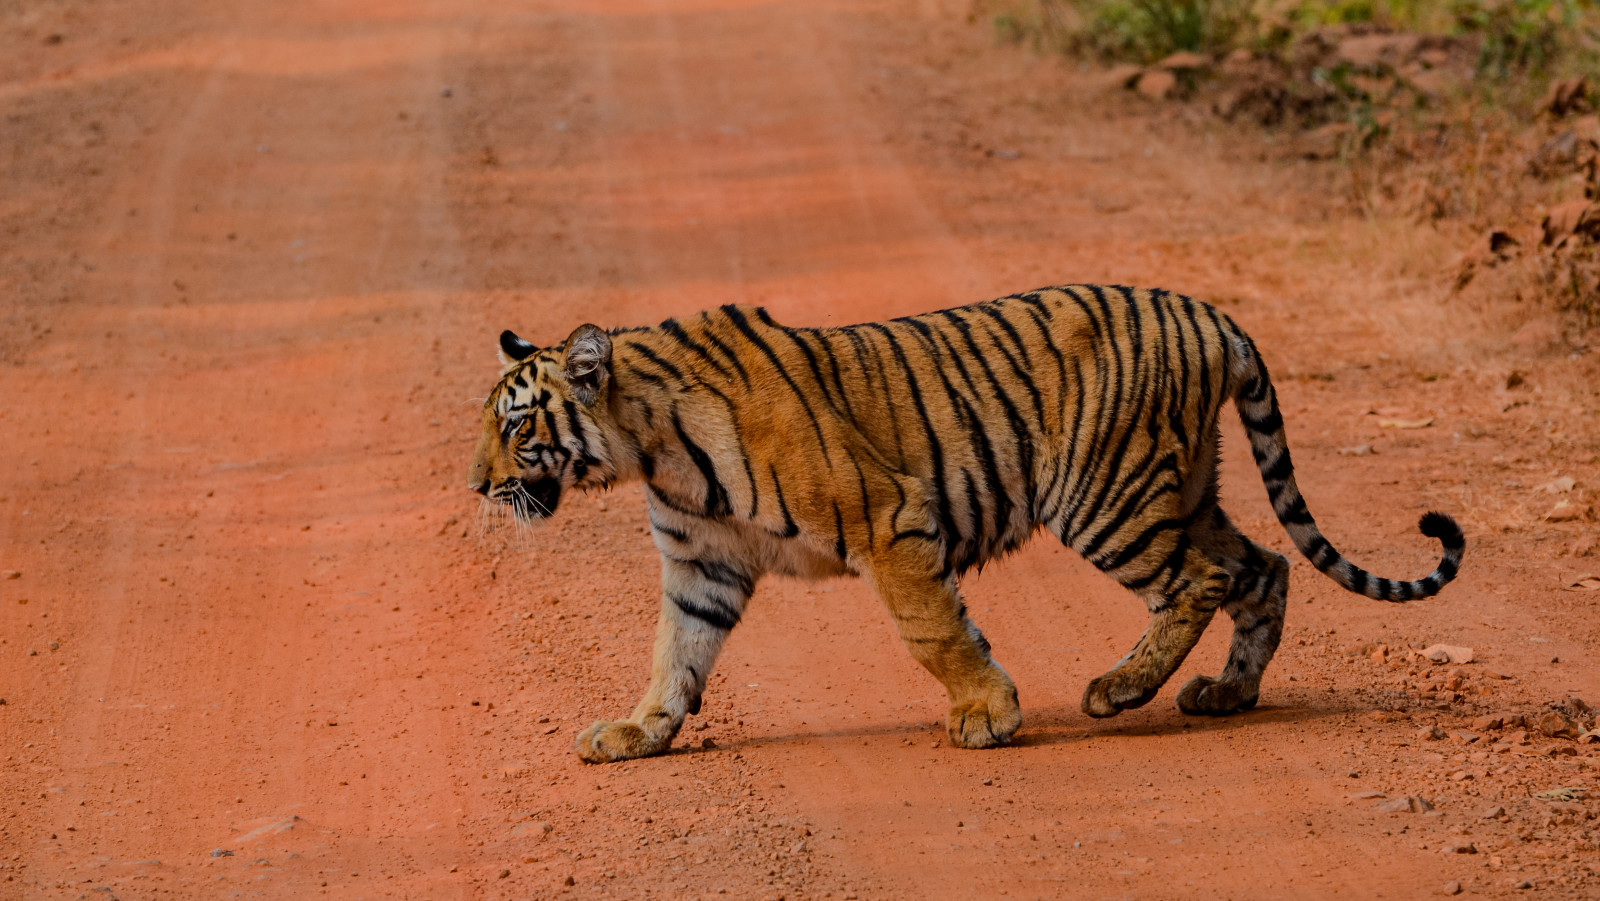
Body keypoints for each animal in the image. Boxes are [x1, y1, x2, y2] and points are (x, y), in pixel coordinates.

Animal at [464, 283, 1465, 761]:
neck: (646, 447)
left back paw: (1118, 689)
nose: (475, 486)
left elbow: (933, 629)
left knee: (1203, 577)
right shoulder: (701, 568)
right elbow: (674, 655)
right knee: (1264, 567)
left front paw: (987, 713)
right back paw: (1226, 692)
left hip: (1107, 497)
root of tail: (1211, 314)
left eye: (515, 426)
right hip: (1184, 489)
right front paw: (637, 733)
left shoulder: (888, 520)